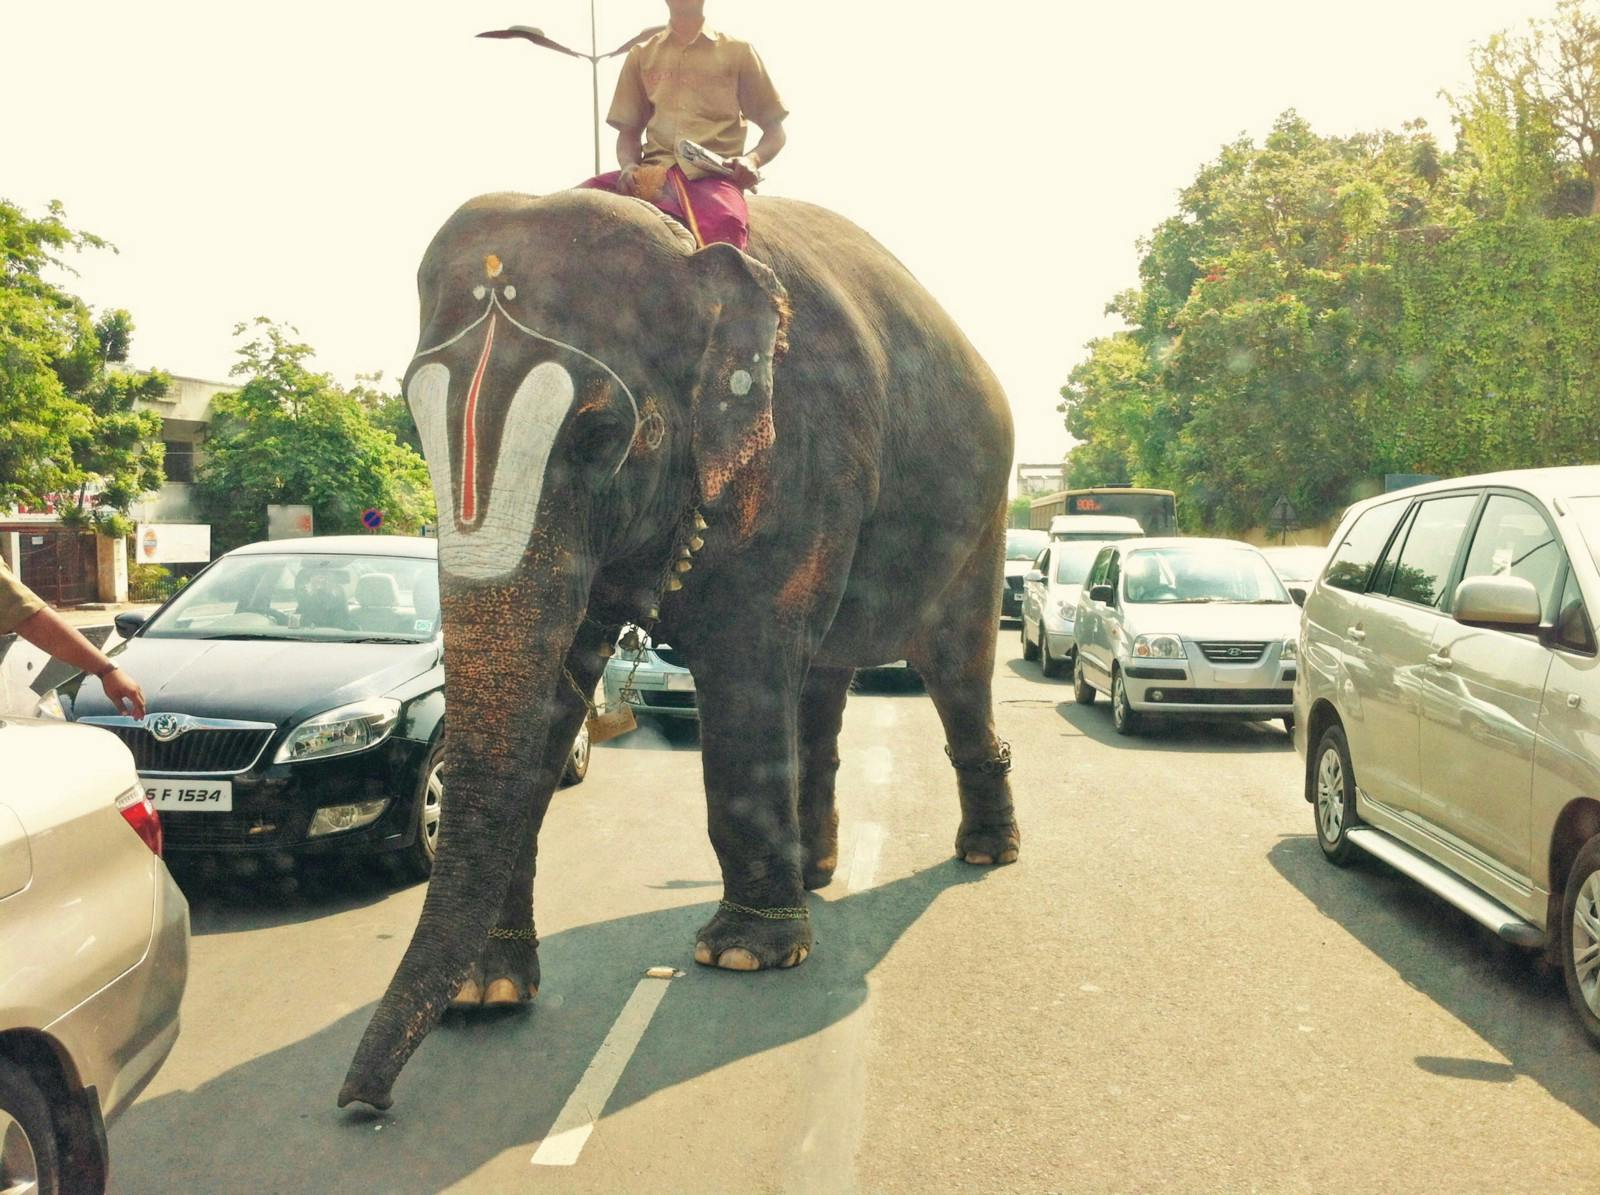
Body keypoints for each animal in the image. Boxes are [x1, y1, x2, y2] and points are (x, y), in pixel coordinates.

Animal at [338, 189, 1019, 1110]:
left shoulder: (803, 455)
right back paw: (816, 874)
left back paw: (984, 852)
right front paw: (486, 992)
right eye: (413, 428)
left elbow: (744, 672)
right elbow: (556, 695)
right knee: (822, 683)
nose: (362, 1100)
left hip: (984, 514)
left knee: (956, 667)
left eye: (600, 435)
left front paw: (743, 955)